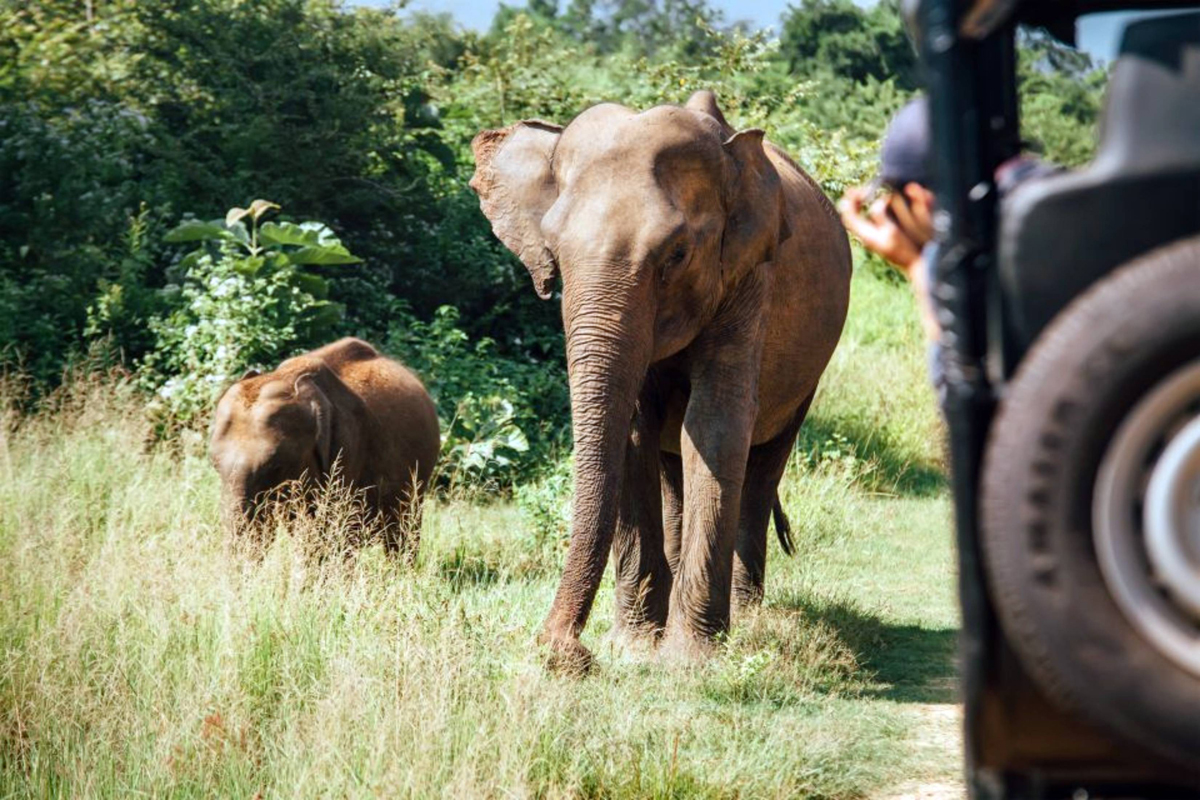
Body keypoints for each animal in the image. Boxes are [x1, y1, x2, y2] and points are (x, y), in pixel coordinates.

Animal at [470, 92, 854, 671]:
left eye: (676, 255)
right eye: (553, 254)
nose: (562, 652)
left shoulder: (748, 278)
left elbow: (715, 425)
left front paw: (689, 661)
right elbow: (634, 432)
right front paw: (633, 648)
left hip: (811, 369)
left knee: (764, 463)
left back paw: (749, 617)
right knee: (675, 465)